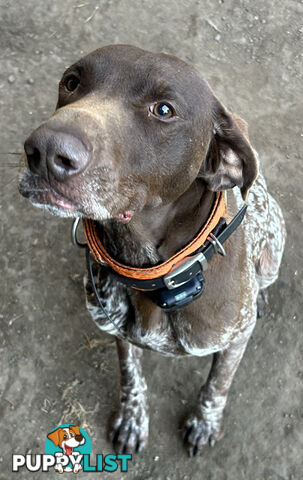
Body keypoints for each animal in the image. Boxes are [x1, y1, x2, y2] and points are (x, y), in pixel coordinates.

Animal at [19, 45, 288, 458]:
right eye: (72, 82)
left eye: (163, 110)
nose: (46, 150)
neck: (150, 268)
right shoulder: (118, 330)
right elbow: (131, 376)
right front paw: (132, 418)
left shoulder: (235, 340)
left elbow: (217, 385)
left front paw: (204, 422)